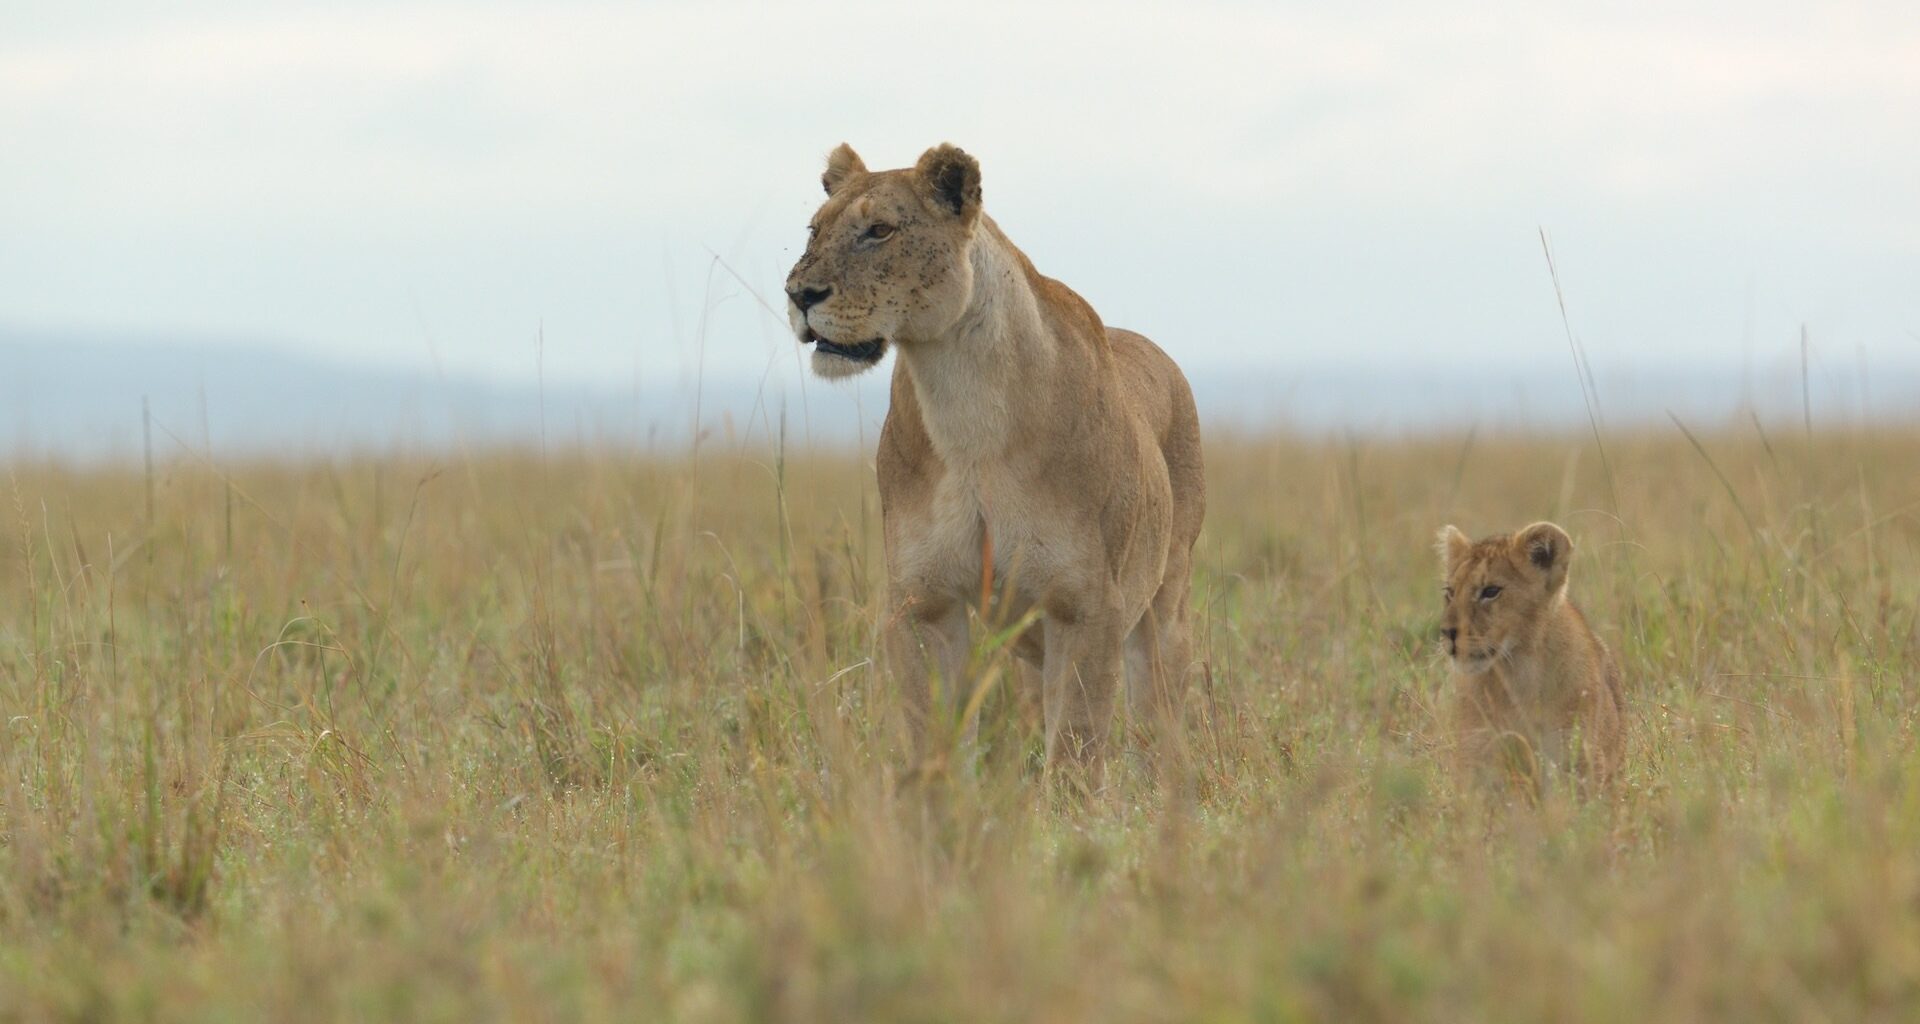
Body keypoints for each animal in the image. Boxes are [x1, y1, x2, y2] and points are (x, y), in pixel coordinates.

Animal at [784, 143, 1205, 790]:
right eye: (814, 230)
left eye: (879, 231)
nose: (799, 294)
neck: (964, 405)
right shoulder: (923, 602)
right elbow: (933, 730)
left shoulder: (1086, 604)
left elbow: (1076, 743)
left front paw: (1071, 811)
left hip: (1166, 602)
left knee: (1157, 715)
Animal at [1436, 521, 1625, 790]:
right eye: (1450, 592)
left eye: (1490, 591)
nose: (1447, 632)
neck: (1517, 672)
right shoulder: (1479, 755)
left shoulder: (1575, 754)